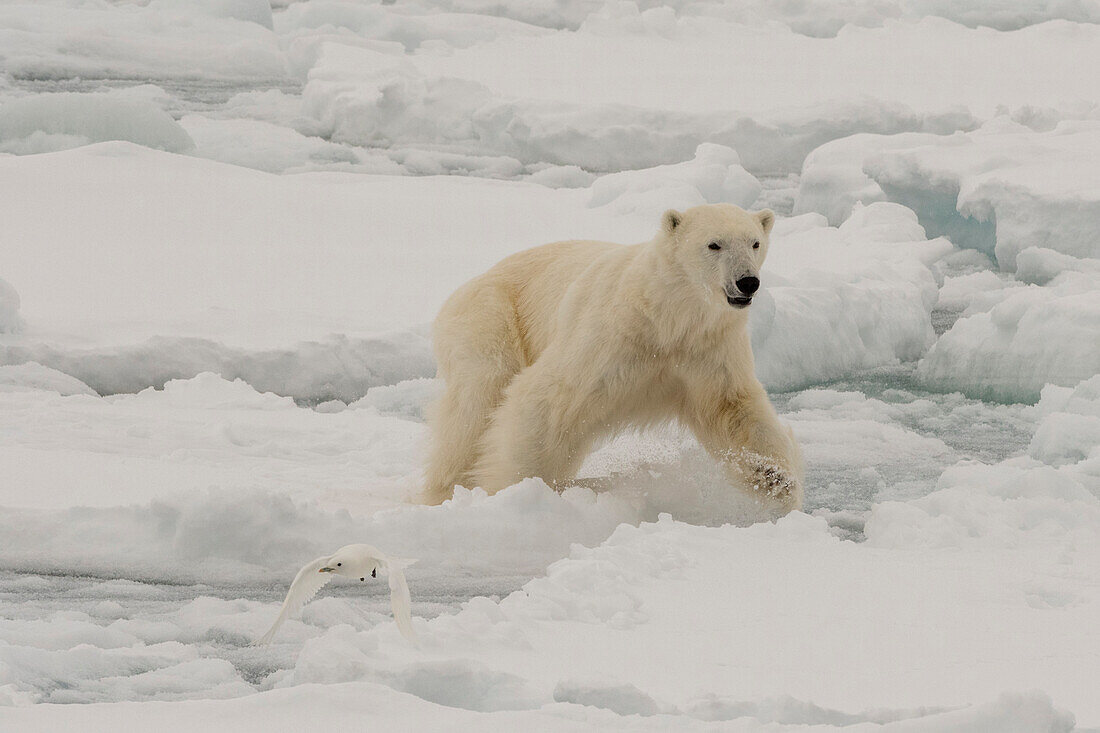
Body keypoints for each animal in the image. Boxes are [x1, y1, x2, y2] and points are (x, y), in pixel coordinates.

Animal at [424, 202, 805, 512]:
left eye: (755, 243)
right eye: (714, 244)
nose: (747, 282)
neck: (667, 316)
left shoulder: (707, 348)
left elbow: (734, 408)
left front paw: (775, 479)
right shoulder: (612, 336)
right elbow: (549, 400)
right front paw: (514, 488)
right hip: (493, 317)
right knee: (476, 402)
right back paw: (445, 489)